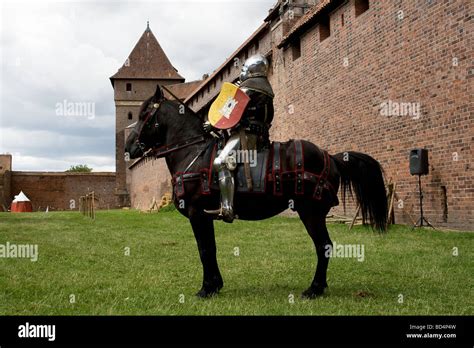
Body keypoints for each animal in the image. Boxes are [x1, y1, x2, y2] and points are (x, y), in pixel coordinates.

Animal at [126, 85, 388, 298]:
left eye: (144, 115)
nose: (129, 147)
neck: (192, 153)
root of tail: (330, 157)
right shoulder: (205, 216)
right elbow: (211, 248)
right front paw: (215, 285)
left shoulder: (196, 213)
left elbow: (204, 250)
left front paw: (206, 289)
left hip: (311, 213)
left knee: (324, 245)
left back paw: (314, 289)